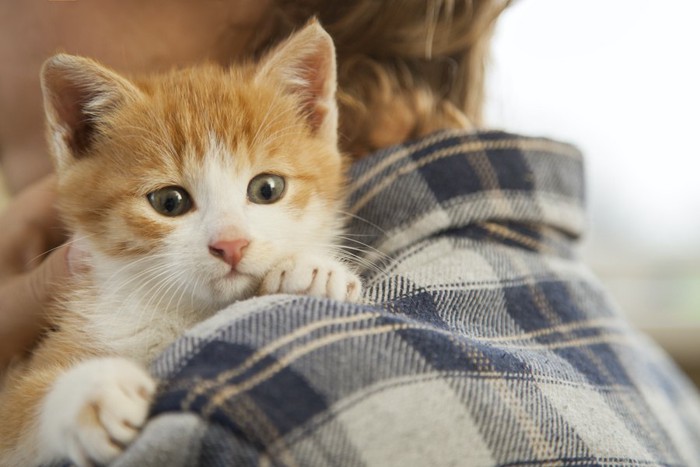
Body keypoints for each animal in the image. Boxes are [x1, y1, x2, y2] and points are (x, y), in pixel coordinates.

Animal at [0, 22, 360, 467]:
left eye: (267, 188)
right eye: (169, 202)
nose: (231, 244)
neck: (187, 312)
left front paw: (311, 270)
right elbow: (18, 406)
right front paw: (94, 391)